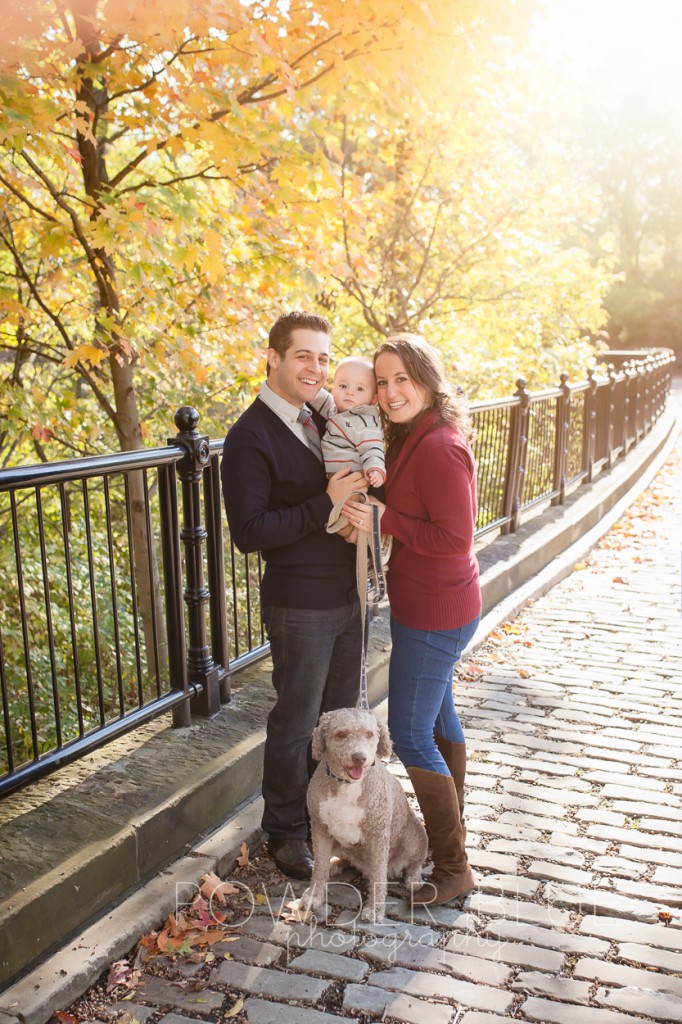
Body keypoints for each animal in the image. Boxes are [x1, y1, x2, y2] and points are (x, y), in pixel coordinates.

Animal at [299, 708, 421, 925]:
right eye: (341, 734)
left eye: (369, 734)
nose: (359, 757)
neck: (347, 784)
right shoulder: (319, 827)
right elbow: (319, 867)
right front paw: (314, 895)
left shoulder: (379, 835)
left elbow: (379, 876)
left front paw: (374, 909)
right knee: (343, 860)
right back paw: (334, 864)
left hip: (414, 838)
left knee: (416, 863)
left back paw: (413, 880)